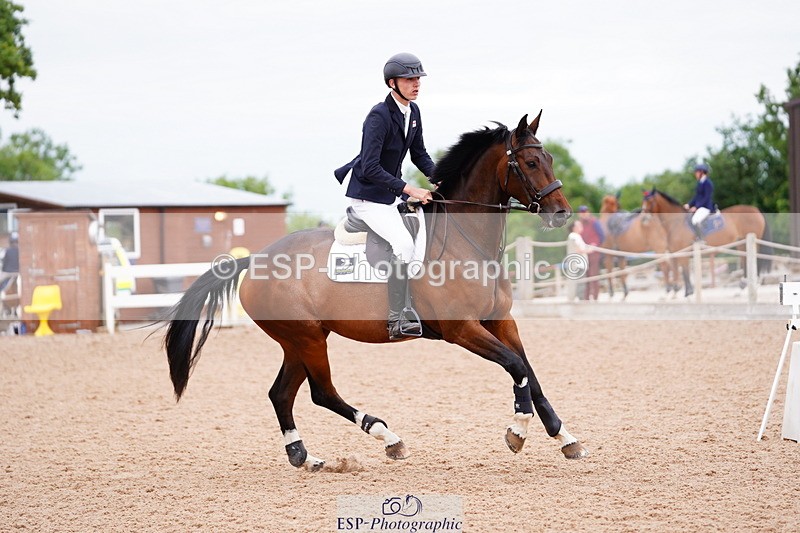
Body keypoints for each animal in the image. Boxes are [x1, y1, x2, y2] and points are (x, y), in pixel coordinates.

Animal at [161, 112, 589, 471]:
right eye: (530, 163)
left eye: (550, 158)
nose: (561, 213)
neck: (466, 242)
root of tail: (256, 260)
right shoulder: (462, 329)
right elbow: (515, 366)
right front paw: (517, 431)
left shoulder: (500, 320)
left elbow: (529, 373)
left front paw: (566, 438)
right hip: (307, 337)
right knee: (321, 392)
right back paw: (388, 437)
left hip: (298, 339)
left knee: (281, 394)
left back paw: (304, 456)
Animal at [641, 188, 771, 297]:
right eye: (643, 201)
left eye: (650, 201)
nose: (643, 218)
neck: (675, 222)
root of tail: (755, 210)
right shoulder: (676, 253)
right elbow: (679, 272)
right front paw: (677, 294)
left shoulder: (683, 253)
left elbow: (684, 272)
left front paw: (688, 294)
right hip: (742, 244)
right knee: (745, 262)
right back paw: (742, 289)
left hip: (750, 242)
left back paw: (752, 286)